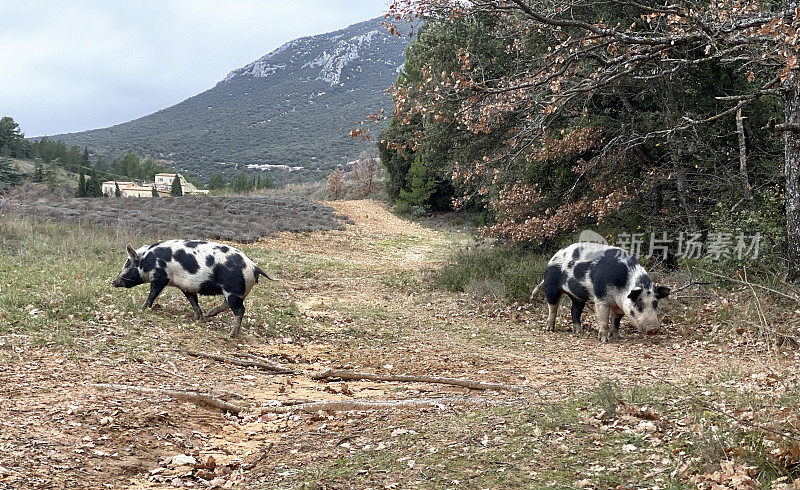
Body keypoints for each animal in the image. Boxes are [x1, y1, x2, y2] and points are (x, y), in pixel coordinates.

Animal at [111, 238, 276, 336]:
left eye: (127, 263)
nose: (114, 282)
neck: (147, 259)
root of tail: (254, 267)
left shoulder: (160, 277)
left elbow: (153, 293)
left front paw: (142, 308)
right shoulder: (186, 286)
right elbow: (193, 300)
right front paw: (197, 317)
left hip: (233, 290)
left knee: (240, 310)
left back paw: (231, 334)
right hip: (233, 292)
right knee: (227, 305)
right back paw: (209, 315)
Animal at [532, 243, 668, 342]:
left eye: (655, 303)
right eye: (639, 305)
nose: (653, 329)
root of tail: (553, 257)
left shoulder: (620, 306)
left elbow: (616, 321)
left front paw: (618, 337)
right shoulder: (601, 298)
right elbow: (603, 319)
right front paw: (604, 340)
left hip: (578, 296)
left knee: (574, 310)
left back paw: (579, 331)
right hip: (551, 285)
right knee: (553, 307)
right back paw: (549, 329)